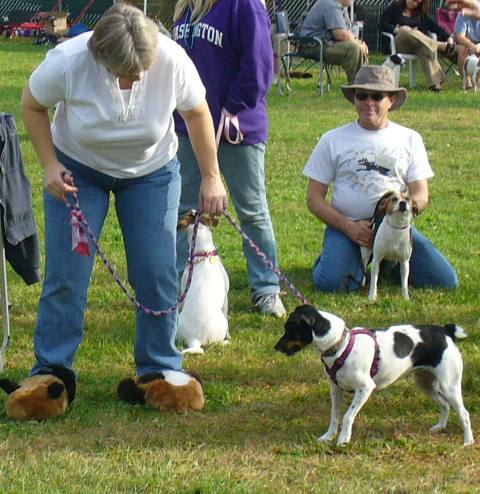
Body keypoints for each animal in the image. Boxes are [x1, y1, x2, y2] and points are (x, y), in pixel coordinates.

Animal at [177, 212, 230, 356]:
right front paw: (229, 336)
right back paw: (225, 342)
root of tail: (195, 339)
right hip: (222, 323)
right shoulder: (226, 296)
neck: (202, 252)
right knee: (217, 343)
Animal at [272, 304, 474, 448]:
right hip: (426, 383)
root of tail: (445, 332)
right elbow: (334, 416)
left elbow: (347, 415)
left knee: (463, 413)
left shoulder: (365, 388)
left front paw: (343, 439)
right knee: (445, 405)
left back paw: (468, 441)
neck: (341, 344)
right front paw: (328, 436)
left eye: (289, 329)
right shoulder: (335, 389)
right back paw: (440, 427)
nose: (276, 347)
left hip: (449, 385)